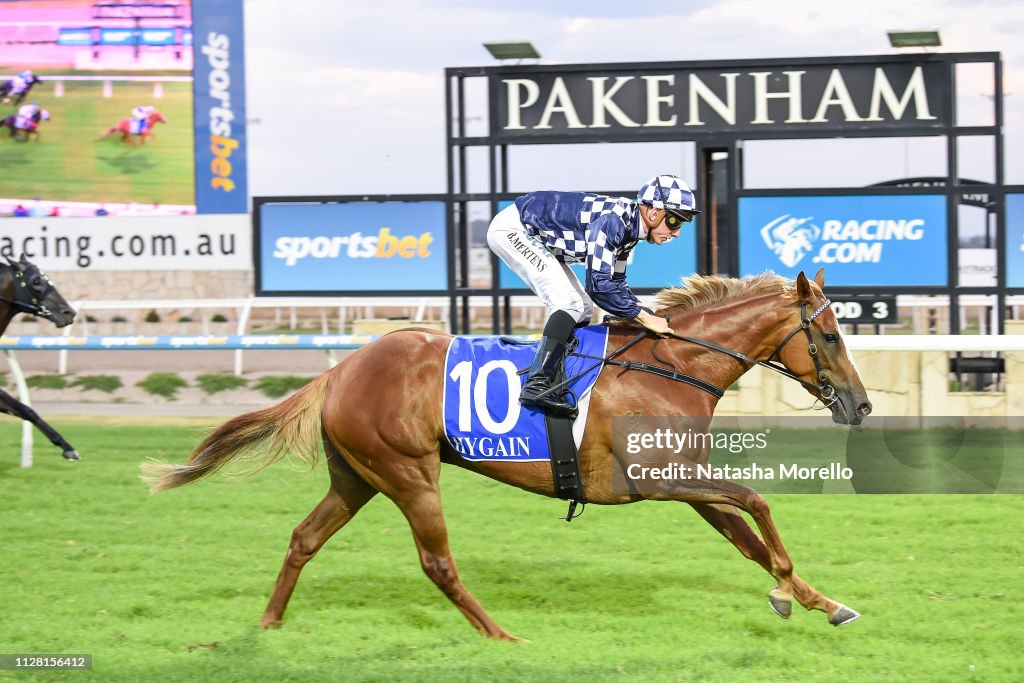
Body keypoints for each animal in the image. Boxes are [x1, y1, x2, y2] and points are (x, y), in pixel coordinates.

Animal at [144, 270, 872, 638]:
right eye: (833, 335)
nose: (861, 405)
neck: (671, 367)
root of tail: (344, 367)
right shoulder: (661, 479)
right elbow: (759, 502)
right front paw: (787, 590)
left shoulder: (686, 481)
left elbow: (748, 535)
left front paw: (820, 600)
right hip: (408, 472)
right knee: (437, 562)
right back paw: (501, 637)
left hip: (357, 475)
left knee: (303, 537)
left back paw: (268, 624)